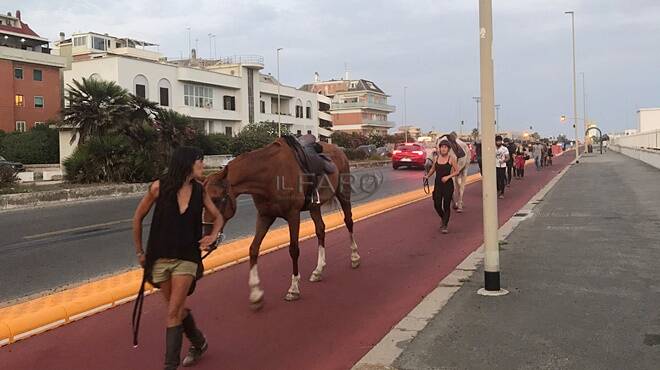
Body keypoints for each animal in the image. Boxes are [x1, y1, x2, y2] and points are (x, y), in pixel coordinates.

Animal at [206, 138, 360, 306]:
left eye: (216, 199)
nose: (207, 238)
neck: (269, 175)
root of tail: (338, 150)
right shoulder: (264, 216)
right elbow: (253, 249)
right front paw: (256, 292)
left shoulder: (293, 215)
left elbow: (293, 249)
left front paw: (294, 289)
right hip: (314, 206)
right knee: (320, 230)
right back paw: (318, 270)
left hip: (343, 194)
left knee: (348, 221)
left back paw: (354, 257)